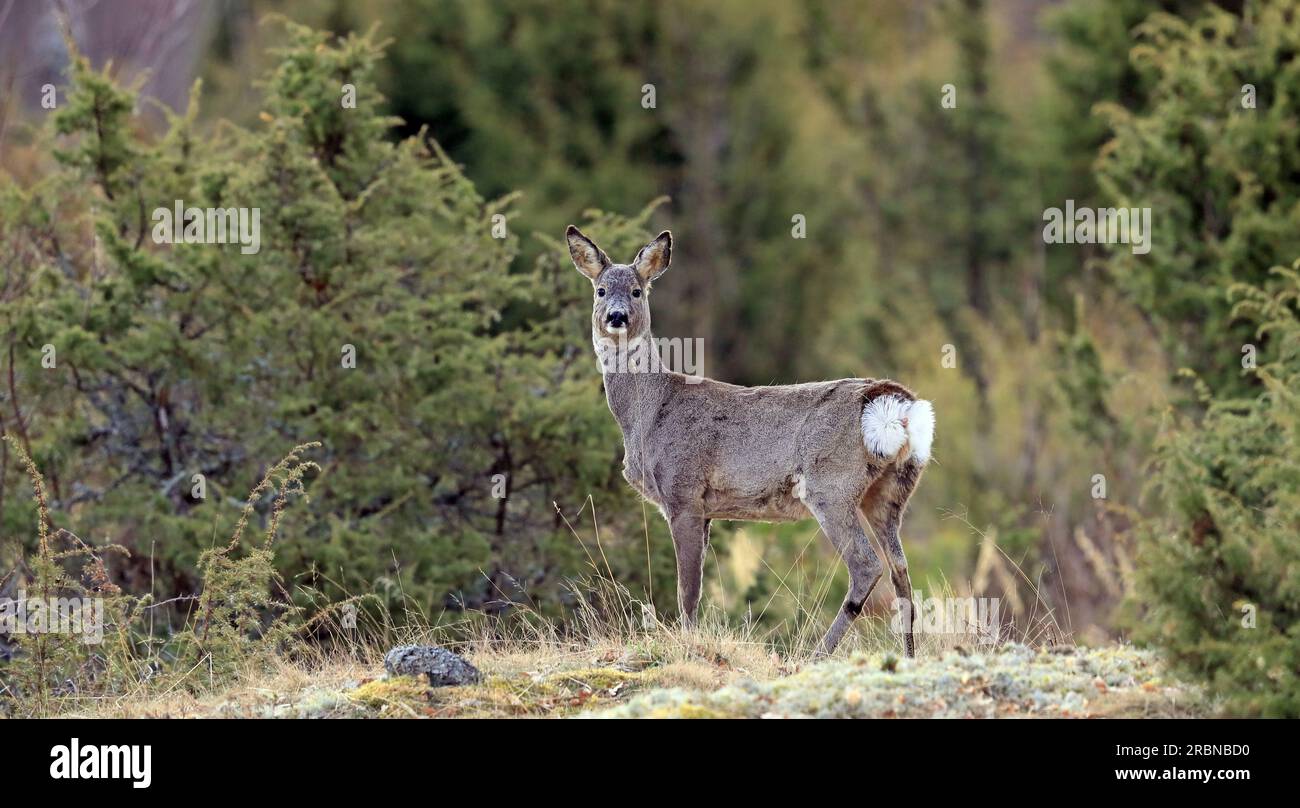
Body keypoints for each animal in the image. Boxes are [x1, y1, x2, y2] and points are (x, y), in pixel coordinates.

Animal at [569, 226, 935, 659]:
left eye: (638, 290)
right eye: (601, 290)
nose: (617, 317)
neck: (649, 414)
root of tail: (894, 401)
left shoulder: (683, 492)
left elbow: (687, 590)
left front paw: (688, 643)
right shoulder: (706, 508)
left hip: (831, 485)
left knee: (867, 565)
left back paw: (817, 653)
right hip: (891, 491)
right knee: (901, 570)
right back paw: (909, 656)